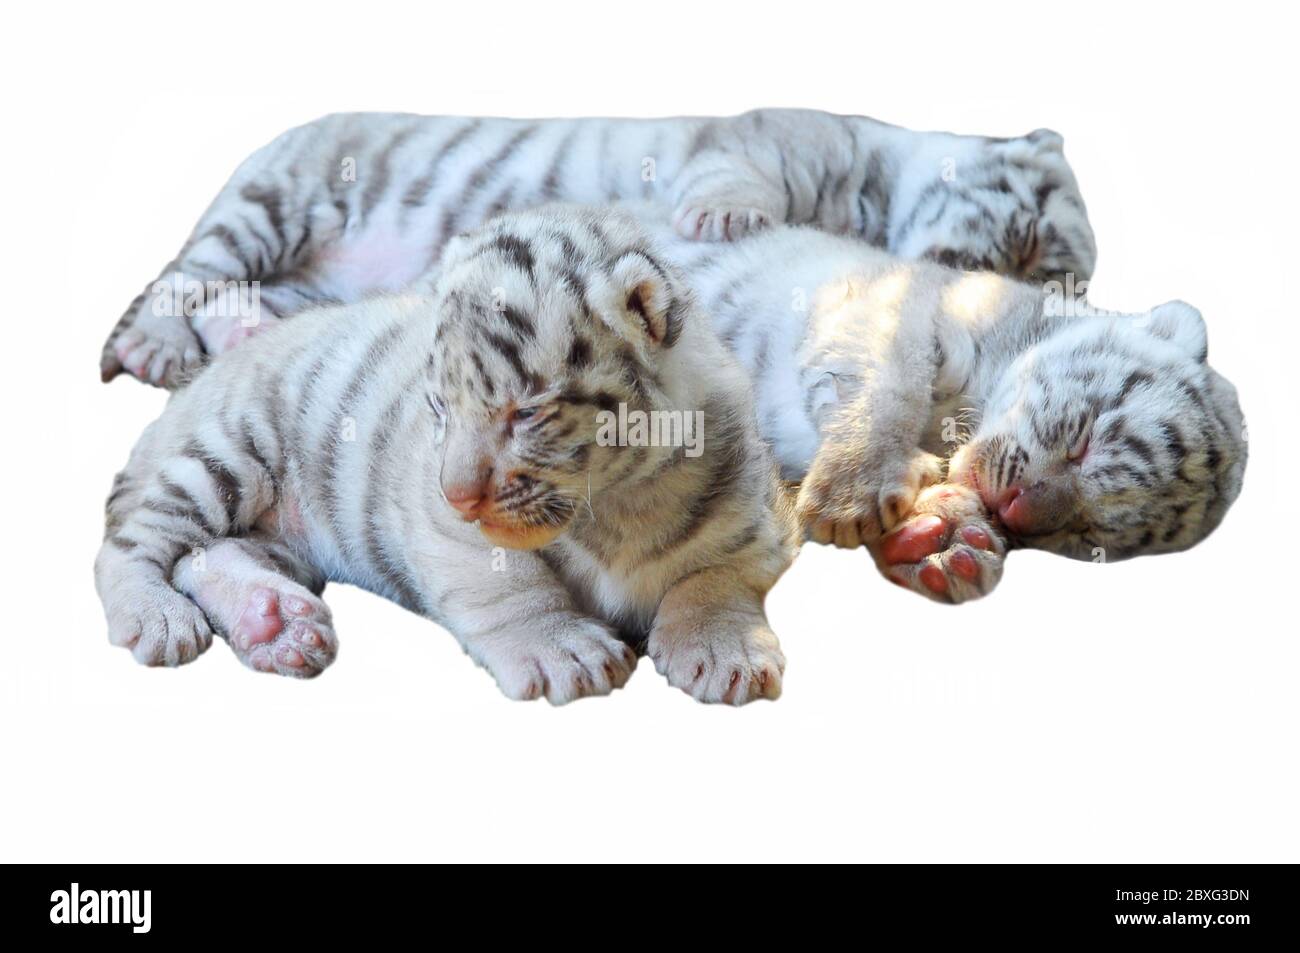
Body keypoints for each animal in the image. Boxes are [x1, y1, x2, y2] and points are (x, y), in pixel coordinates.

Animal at [94, 206, 798, 704]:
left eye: (526, 413)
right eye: (438, 408)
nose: (458, 497)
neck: (620, 500)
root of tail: (185, 391)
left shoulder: (756, 521)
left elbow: (715, 577)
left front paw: (725, 650)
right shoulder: (443, 529)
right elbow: (508, 584)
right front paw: (564, 651)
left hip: (285, 538)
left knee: (207, 554)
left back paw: (276, 624)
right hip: (227, 451)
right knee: (130, 546)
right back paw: (160, 619)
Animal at [99, 108, 1096, 389]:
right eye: (1019, 238)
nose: (992, 288)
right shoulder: (760, 141)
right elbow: (739, 182)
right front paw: (728, 220)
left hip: (306, 286)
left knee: (242, 304)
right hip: (275, 204)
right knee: (183, 279)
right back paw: (153, 345)